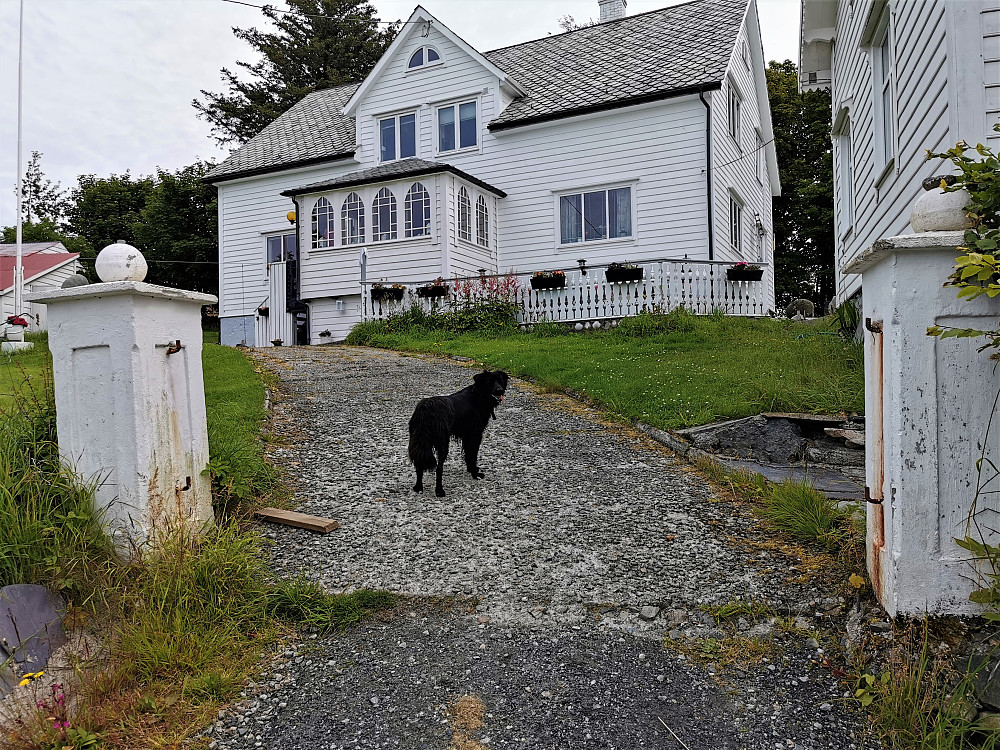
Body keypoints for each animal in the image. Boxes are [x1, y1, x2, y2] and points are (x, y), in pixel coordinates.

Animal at [406, 372, 508, 500]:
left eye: (500, 380)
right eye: (490, 382)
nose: (500, 390)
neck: (479, 395)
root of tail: (425, 410)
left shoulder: (466, 435)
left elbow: (468, 455)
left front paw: (471, 470)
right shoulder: (475, 435)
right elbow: (472, 455)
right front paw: (475, 473)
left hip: (421, 442)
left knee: (419, 463)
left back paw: (418, 487)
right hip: (442, 443)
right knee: (439, 468)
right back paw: (439, 491)